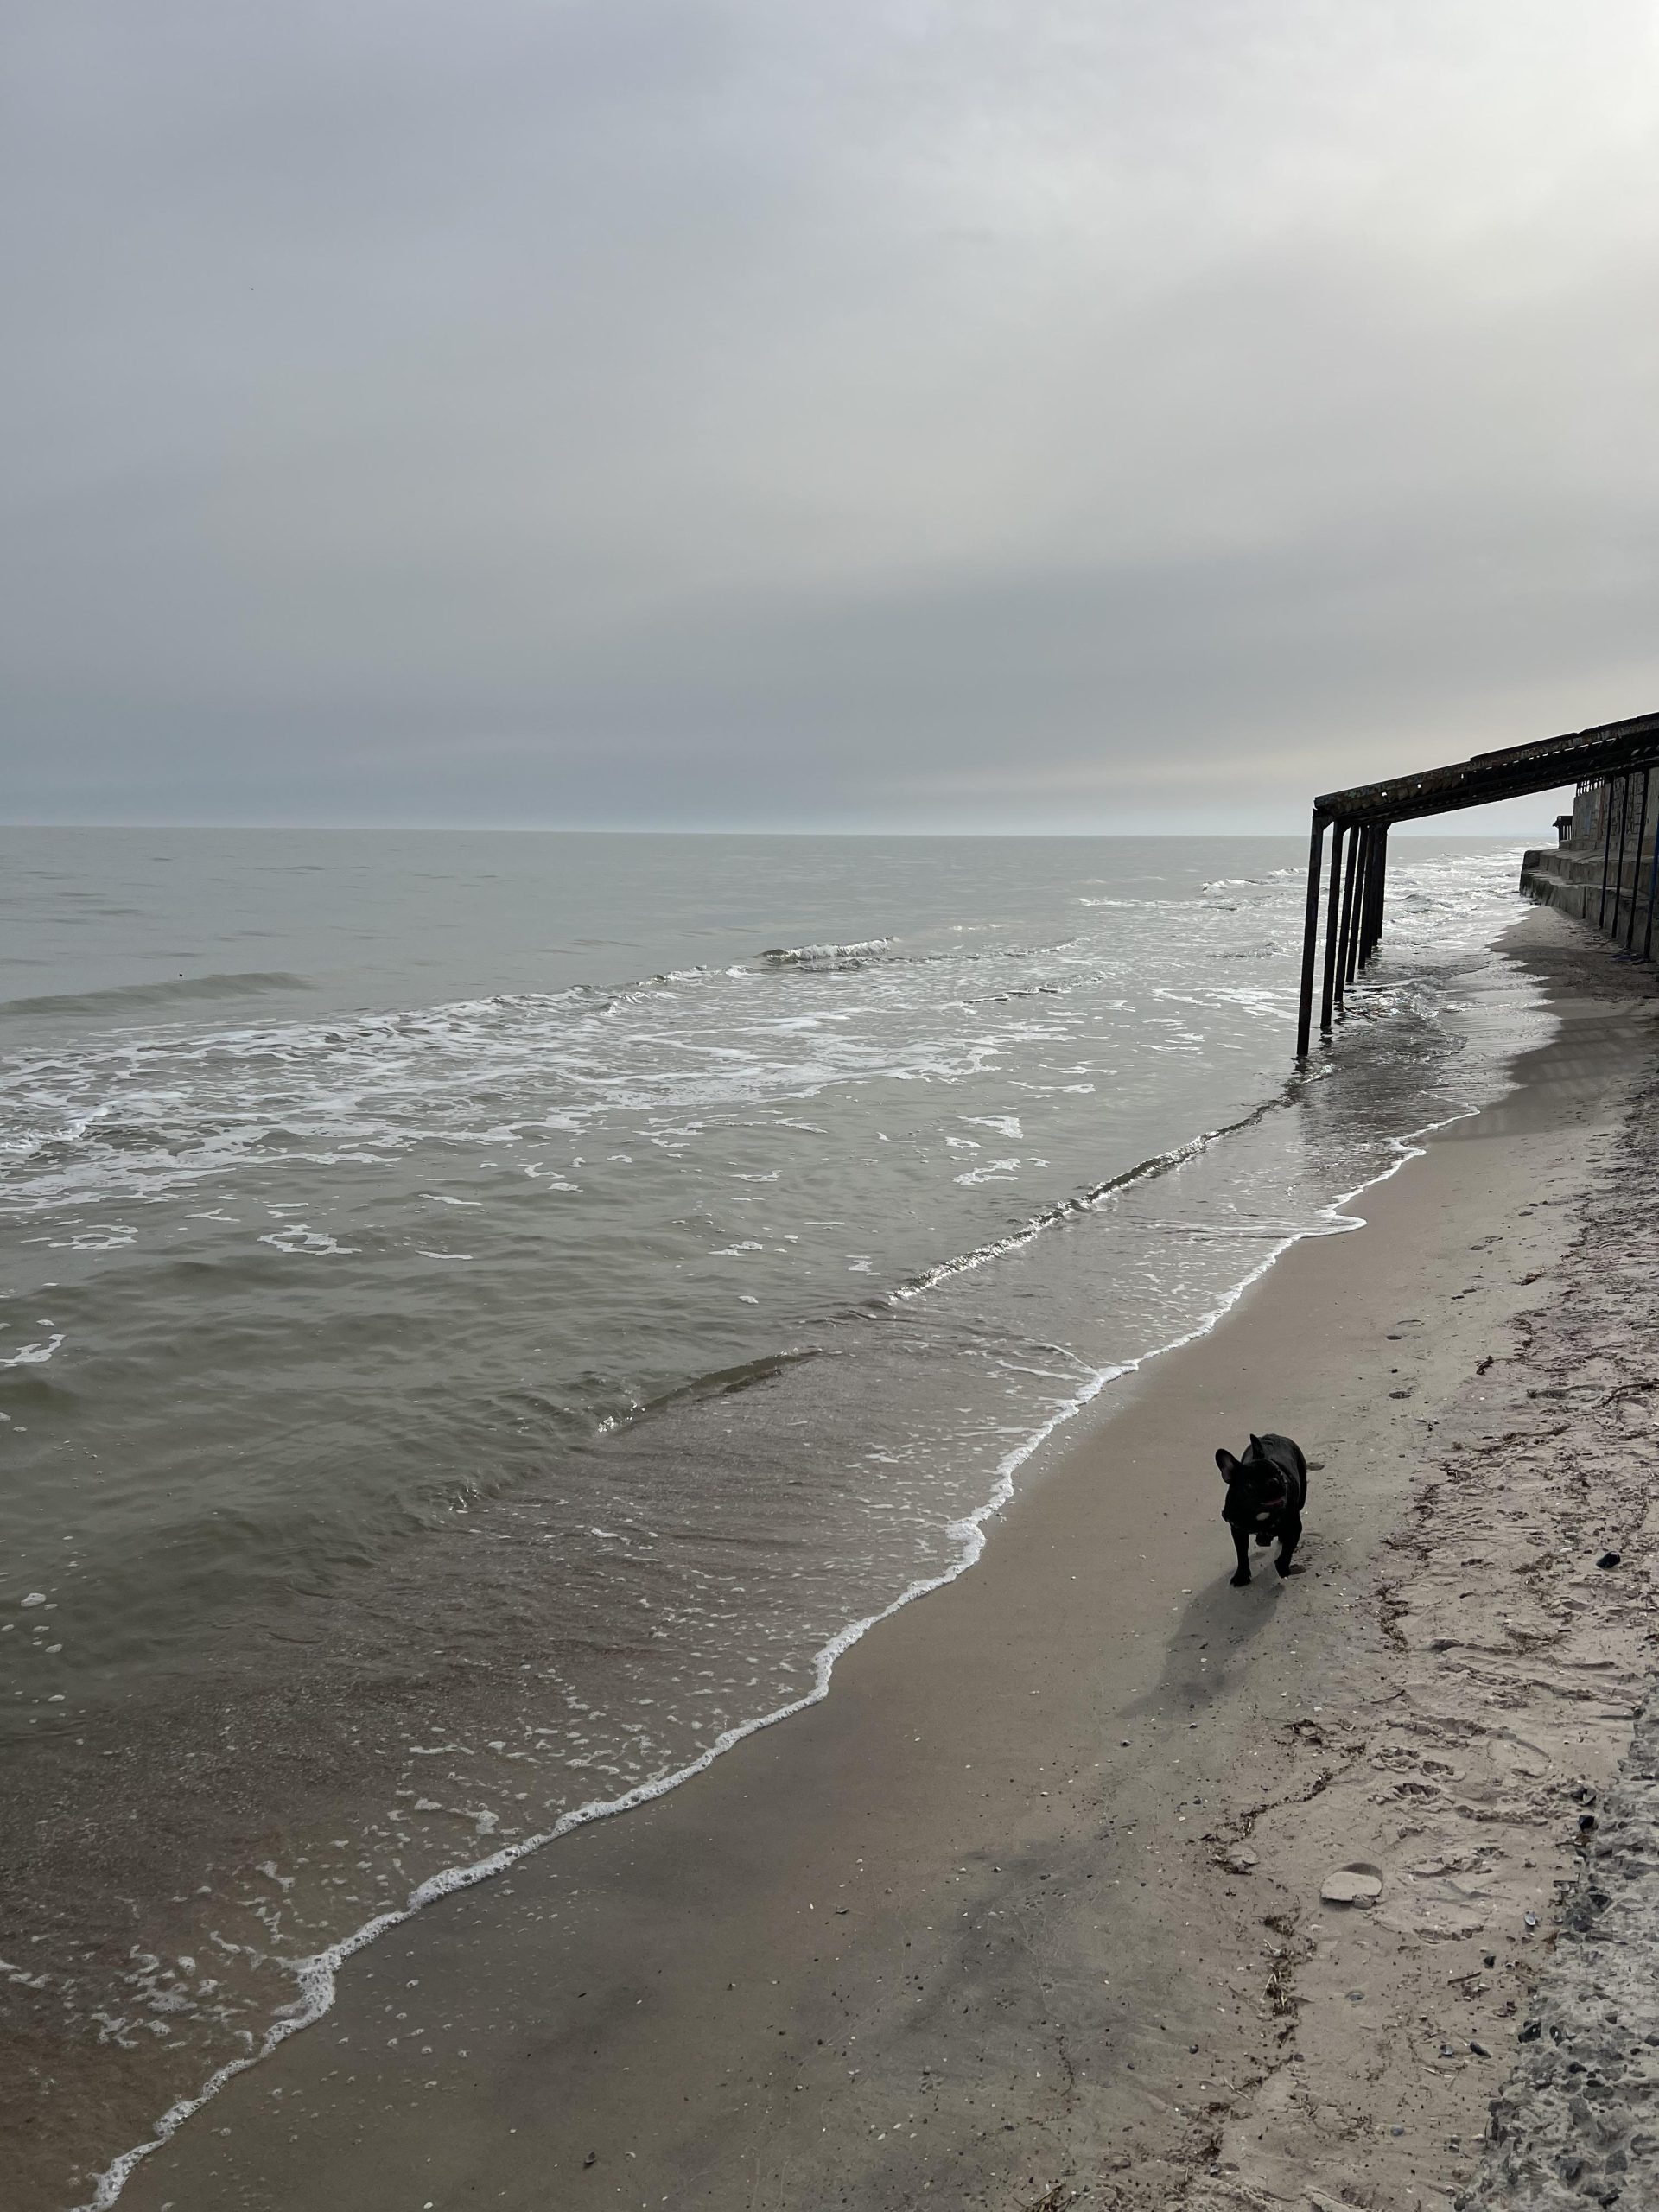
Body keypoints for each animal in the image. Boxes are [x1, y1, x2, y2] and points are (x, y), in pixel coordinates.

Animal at [1215, 1432, 1307, 1586]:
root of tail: (1273, 1435)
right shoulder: (1238, 1530)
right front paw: (1242, 1575)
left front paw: (1283, 1568)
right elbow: (1242, 1554)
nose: (1274, 1482)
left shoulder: (1294, 1528)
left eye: (1280, 1474)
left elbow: (1287, 1551)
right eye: (1250, 1485)